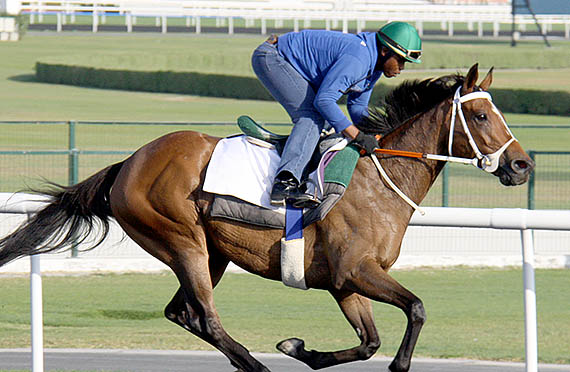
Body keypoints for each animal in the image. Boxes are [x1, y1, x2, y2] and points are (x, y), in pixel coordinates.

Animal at [0, 62, 532, 370]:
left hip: (211, 252)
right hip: (183, 241)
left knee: (182, 313)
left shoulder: (343, 281)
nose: (522, 165)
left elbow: (369, 341)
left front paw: (300, 349)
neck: (380, 177)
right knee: (206, 317)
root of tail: (128, 162)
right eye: (481, 116)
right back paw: (257, 369)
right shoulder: (357, 269)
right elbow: (416, 309)